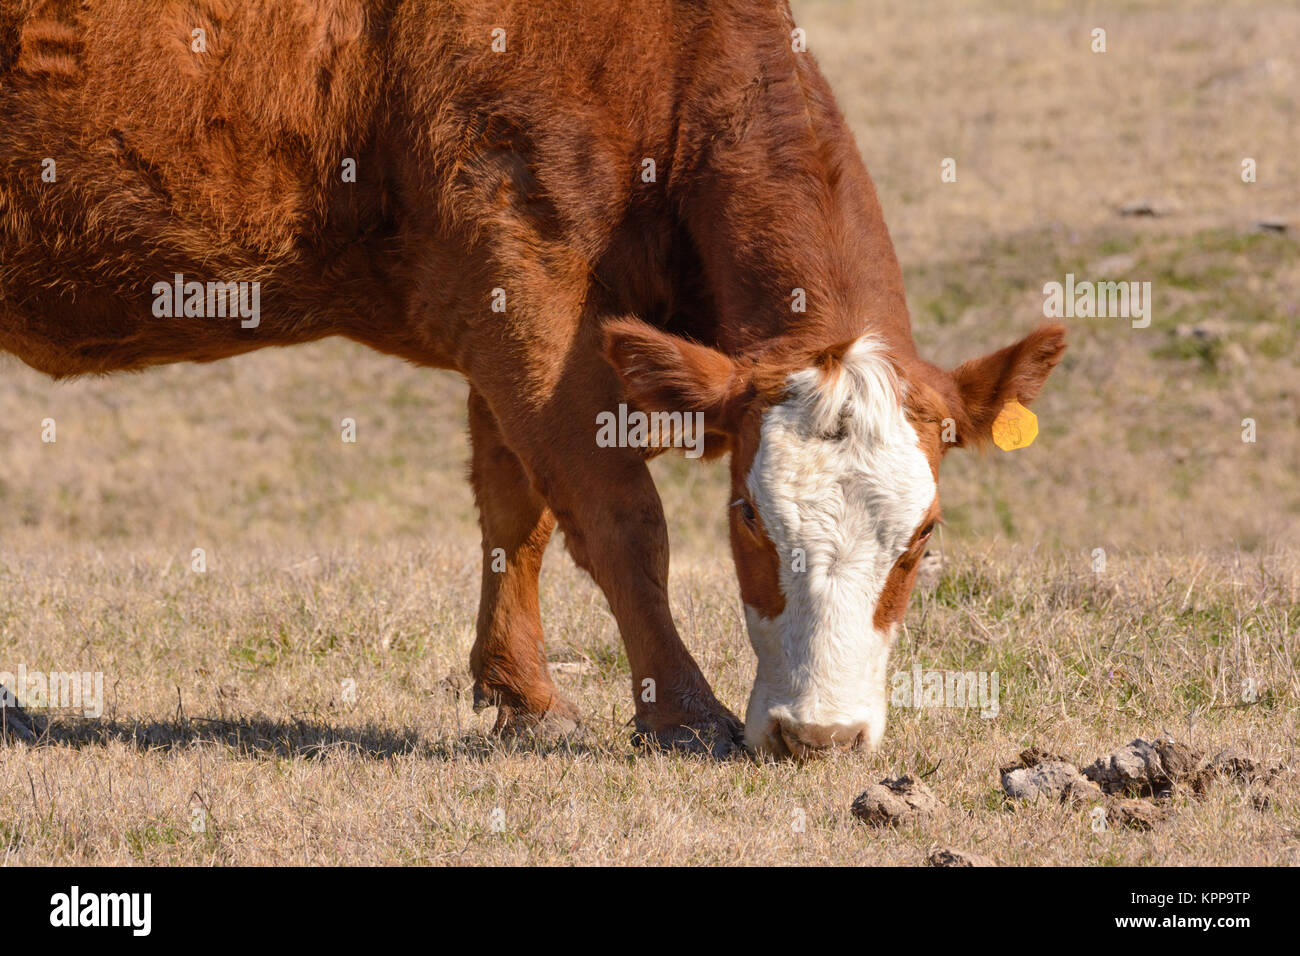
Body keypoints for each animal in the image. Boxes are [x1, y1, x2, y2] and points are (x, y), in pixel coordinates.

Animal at [0, 1, 1066, 764]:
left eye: (926, 538)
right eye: (749, 519)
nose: (821, 736)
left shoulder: (506, 305)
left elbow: (519, 510)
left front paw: (522, 694)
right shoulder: (524, 277)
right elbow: (618, 514)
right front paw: (682, 711)